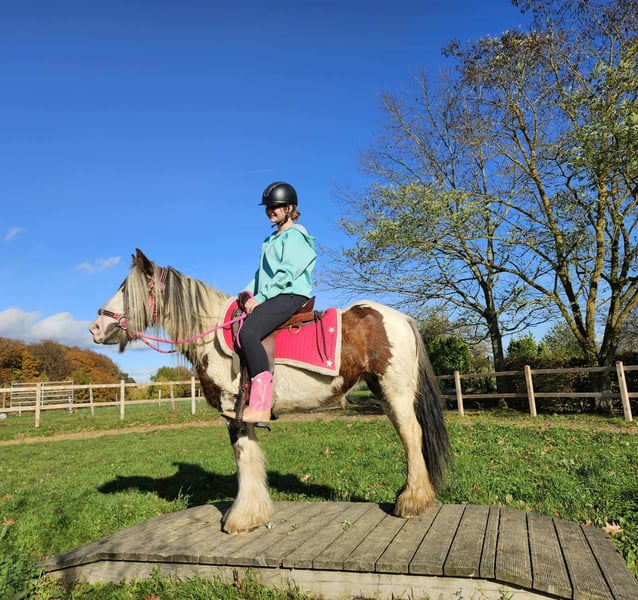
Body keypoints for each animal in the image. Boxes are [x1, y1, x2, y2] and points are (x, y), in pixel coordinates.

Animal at [89, 249, 451, 534]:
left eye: (127, 289)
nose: (95, 327)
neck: (212, 335)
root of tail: (401, 317)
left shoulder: (234, 411)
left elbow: (244, 458)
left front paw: (239, 519)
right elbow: (250, 458)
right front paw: (252, 515)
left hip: (395, 388)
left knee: (411, 434)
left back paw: (412, 501)